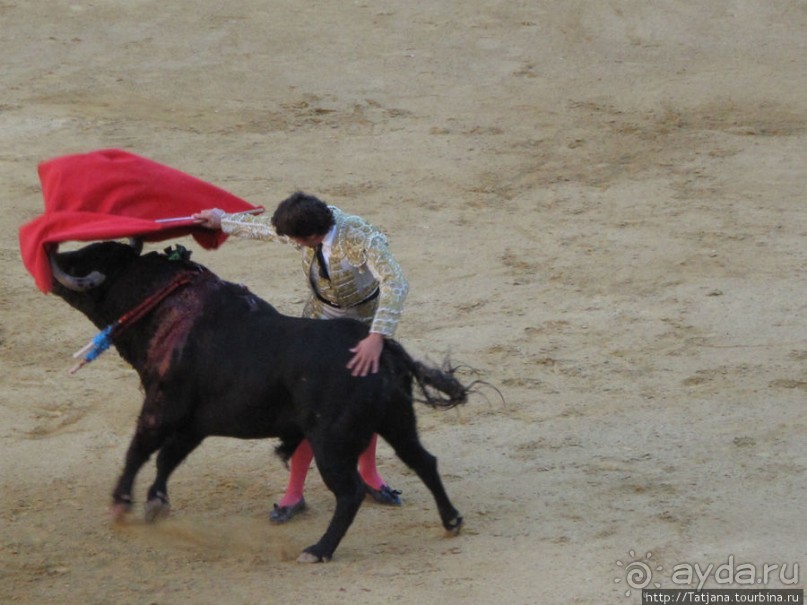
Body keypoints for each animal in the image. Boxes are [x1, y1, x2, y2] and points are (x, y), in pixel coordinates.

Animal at [45, 239, 474, 560]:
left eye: (85, 259)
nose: (55, 258)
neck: (165, 308)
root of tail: (383, 351)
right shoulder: (194, 424)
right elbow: (169, 458)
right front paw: (156, 504)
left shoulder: (161, 407)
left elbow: (138, 451)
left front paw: (121, 504)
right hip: (397, 420)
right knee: (423, 460)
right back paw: (451, 520)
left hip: (331, 441)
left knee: (350, 492)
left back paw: (319, 550)